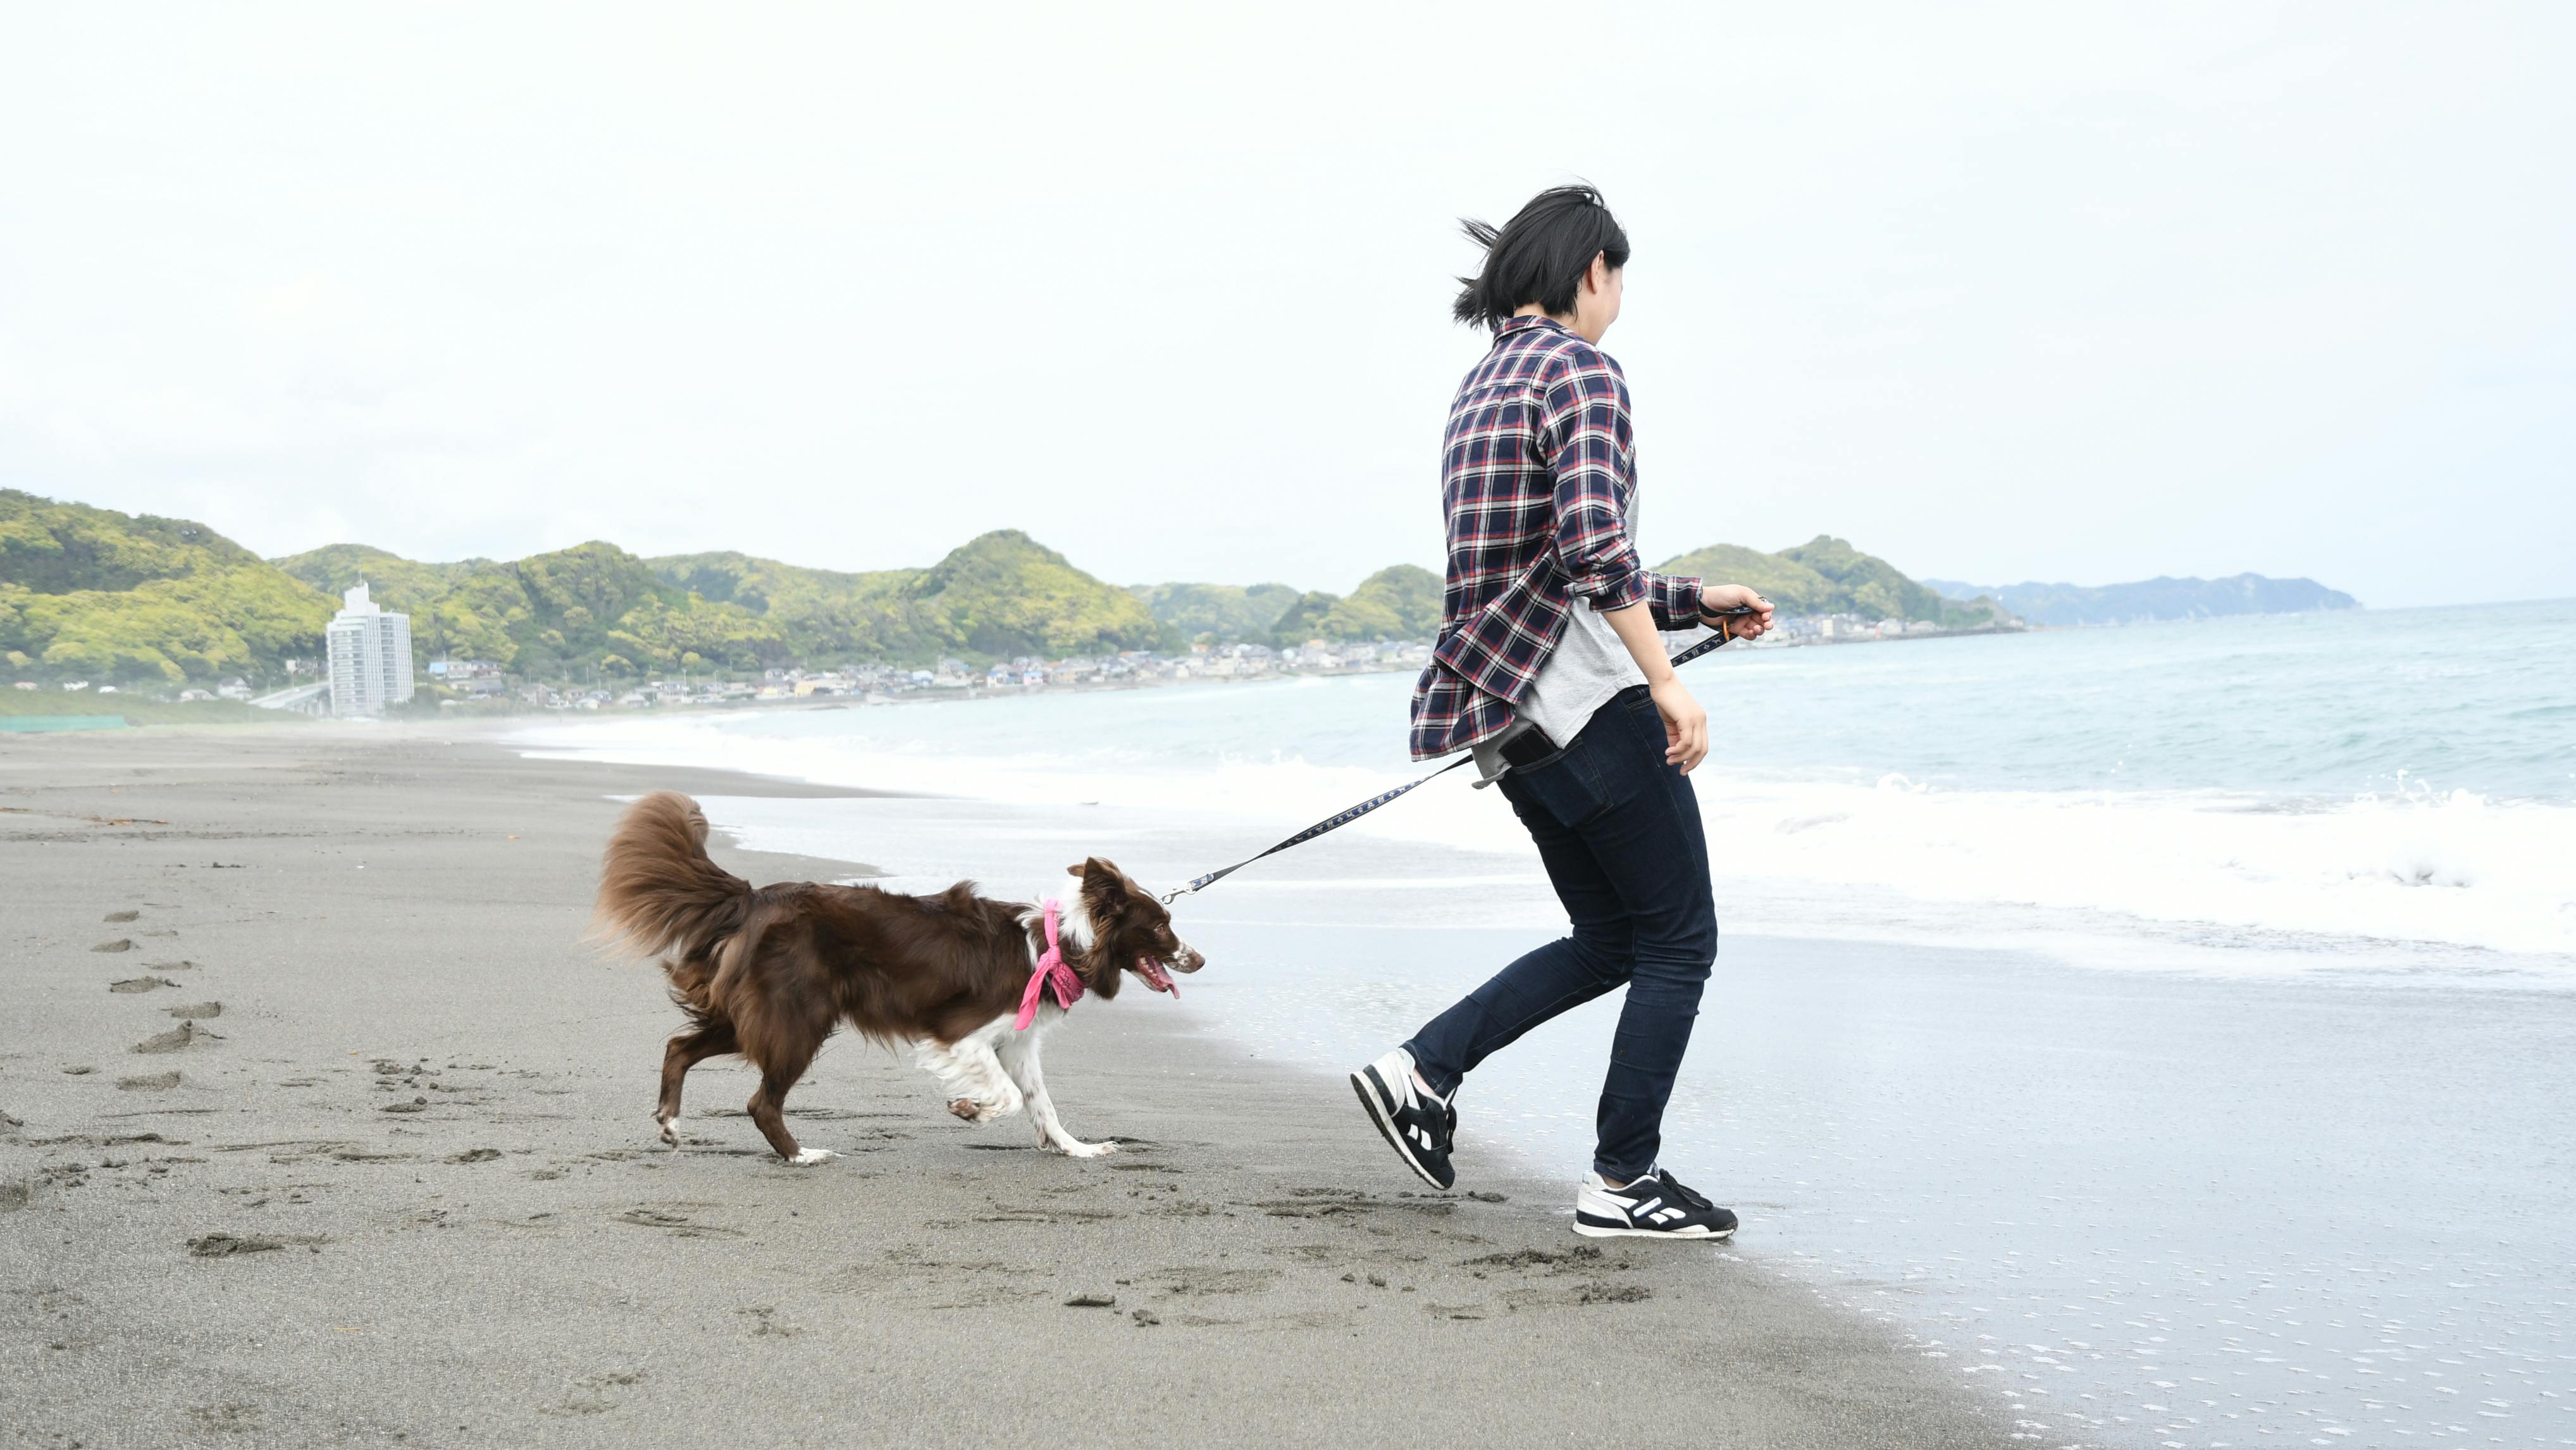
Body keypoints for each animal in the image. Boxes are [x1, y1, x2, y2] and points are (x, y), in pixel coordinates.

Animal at [592, 788, 1205, 1164]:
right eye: (1162, 925)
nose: (1199, 961)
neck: (1060, 944)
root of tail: (753, 896)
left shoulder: (1018, 1042)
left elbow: (1041, 1102)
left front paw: (1078, 1149)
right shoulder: (961, 1035)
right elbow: (1008, 1097)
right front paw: (970, 1110)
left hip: (759, 1016)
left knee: (679, 1046)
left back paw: (670, 1123)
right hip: (798, 1019)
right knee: (759, 1102)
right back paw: (801, 1155)